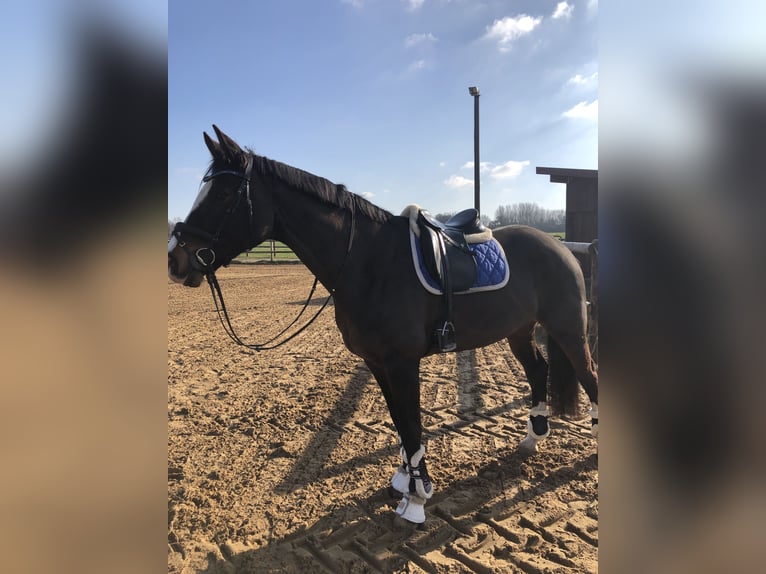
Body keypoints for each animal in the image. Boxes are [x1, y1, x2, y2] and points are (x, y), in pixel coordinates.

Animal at [168, 126, 598, 524]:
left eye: (222, 195)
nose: (176, 260)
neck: (368, 261)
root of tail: (560, 247)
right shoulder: (376, 363)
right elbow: (399, 422)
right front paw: (406, 481)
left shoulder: (402, 363)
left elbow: (411, 425)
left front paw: (418, 498)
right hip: (519, 331)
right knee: (538, 370)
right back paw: (532, 438)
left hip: (568, 329)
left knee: (589, 376)